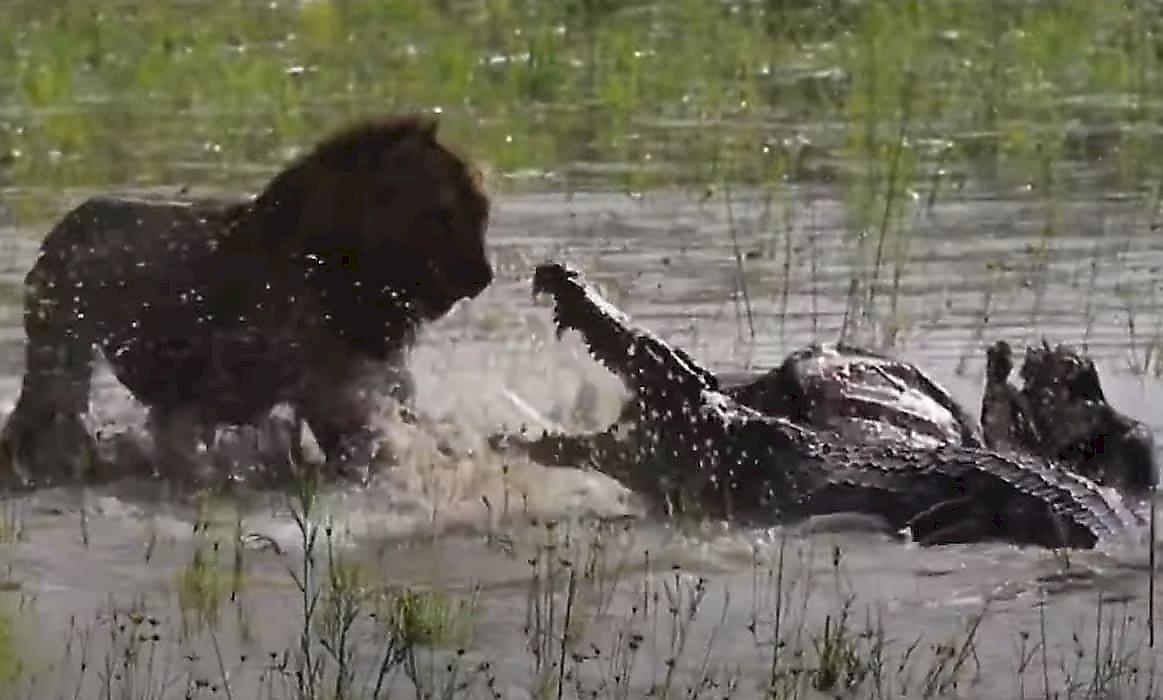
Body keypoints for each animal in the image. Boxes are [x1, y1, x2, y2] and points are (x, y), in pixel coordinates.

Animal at [0, 113, 490, 486]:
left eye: (481, 210)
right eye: (446, 214)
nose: (483, 277)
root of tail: (60, 230)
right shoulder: (326, 388)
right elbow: (367, 443)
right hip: (60, 364)